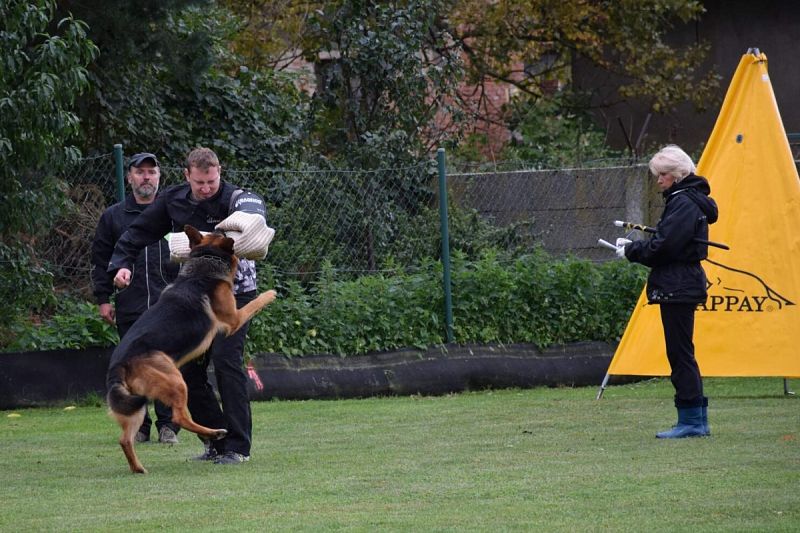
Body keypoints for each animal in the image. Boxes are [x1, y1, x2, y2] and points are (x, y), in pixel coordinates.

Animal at [106, 222, 276, 472]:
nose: (222, 227)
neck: (203, 265)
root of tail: (119, 365)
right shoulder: (234, 320)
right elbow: (254, 303)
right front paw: (270, 294)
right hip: (176, 381)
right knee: (179, 418)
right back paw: (215, 432)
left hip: (137, 404)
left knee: (125, 439)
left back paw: (139, 468)